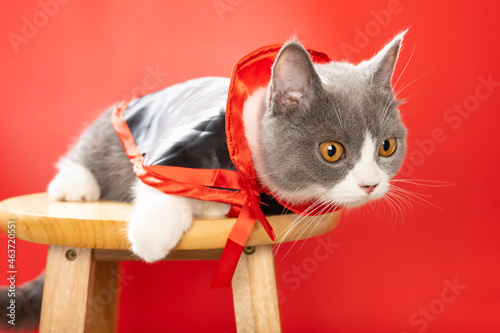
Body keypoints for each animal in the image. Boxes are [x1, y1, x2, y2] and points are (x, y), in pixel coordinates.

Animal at [0, 32, 406, 328]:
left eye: (387, 146)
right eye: (331, 151)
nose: (370, 184)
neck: (245, 159)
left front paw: (213, 208)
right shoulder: (175, 153)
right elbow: (160, 184)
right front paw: (152, 236)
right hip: (113, 131)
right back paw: (76, 185)